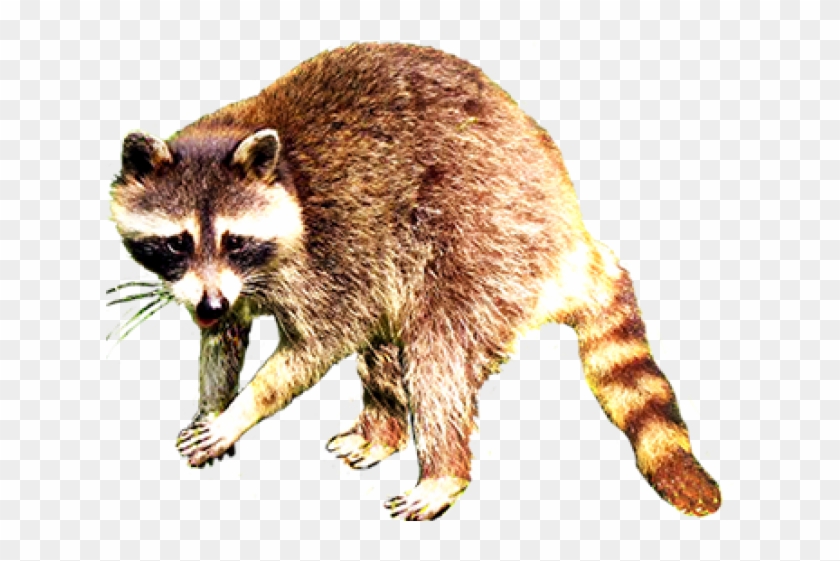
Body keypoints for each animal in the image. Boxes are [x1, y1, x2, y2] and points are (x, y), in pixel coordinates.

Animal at [110, 43, 721, 520]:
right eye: (177, 242)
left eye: (234, 240)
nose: (210, 304)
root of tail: (572, 230)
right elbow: (224, 341)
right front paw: (212, 402)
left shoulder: (326, 257)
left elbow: (315, 347)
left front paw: (240, 412)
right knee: (386, 344)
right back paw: (380, 432)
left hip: (485, 247)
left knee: (437, 358)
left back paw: (442, 472)